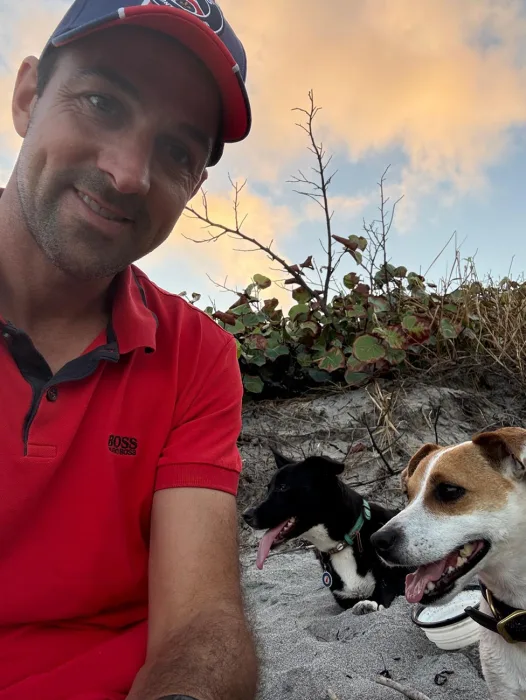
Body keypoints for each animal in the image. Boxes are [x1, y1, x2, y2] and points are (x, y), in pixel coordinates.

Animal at [242, 448, 411, 614]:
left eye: (283, 487)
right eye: (268, 489)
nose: (246, 515)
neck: (342, 544)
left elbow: (385, 592)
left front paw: (370, 603)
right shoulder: (344, 598)